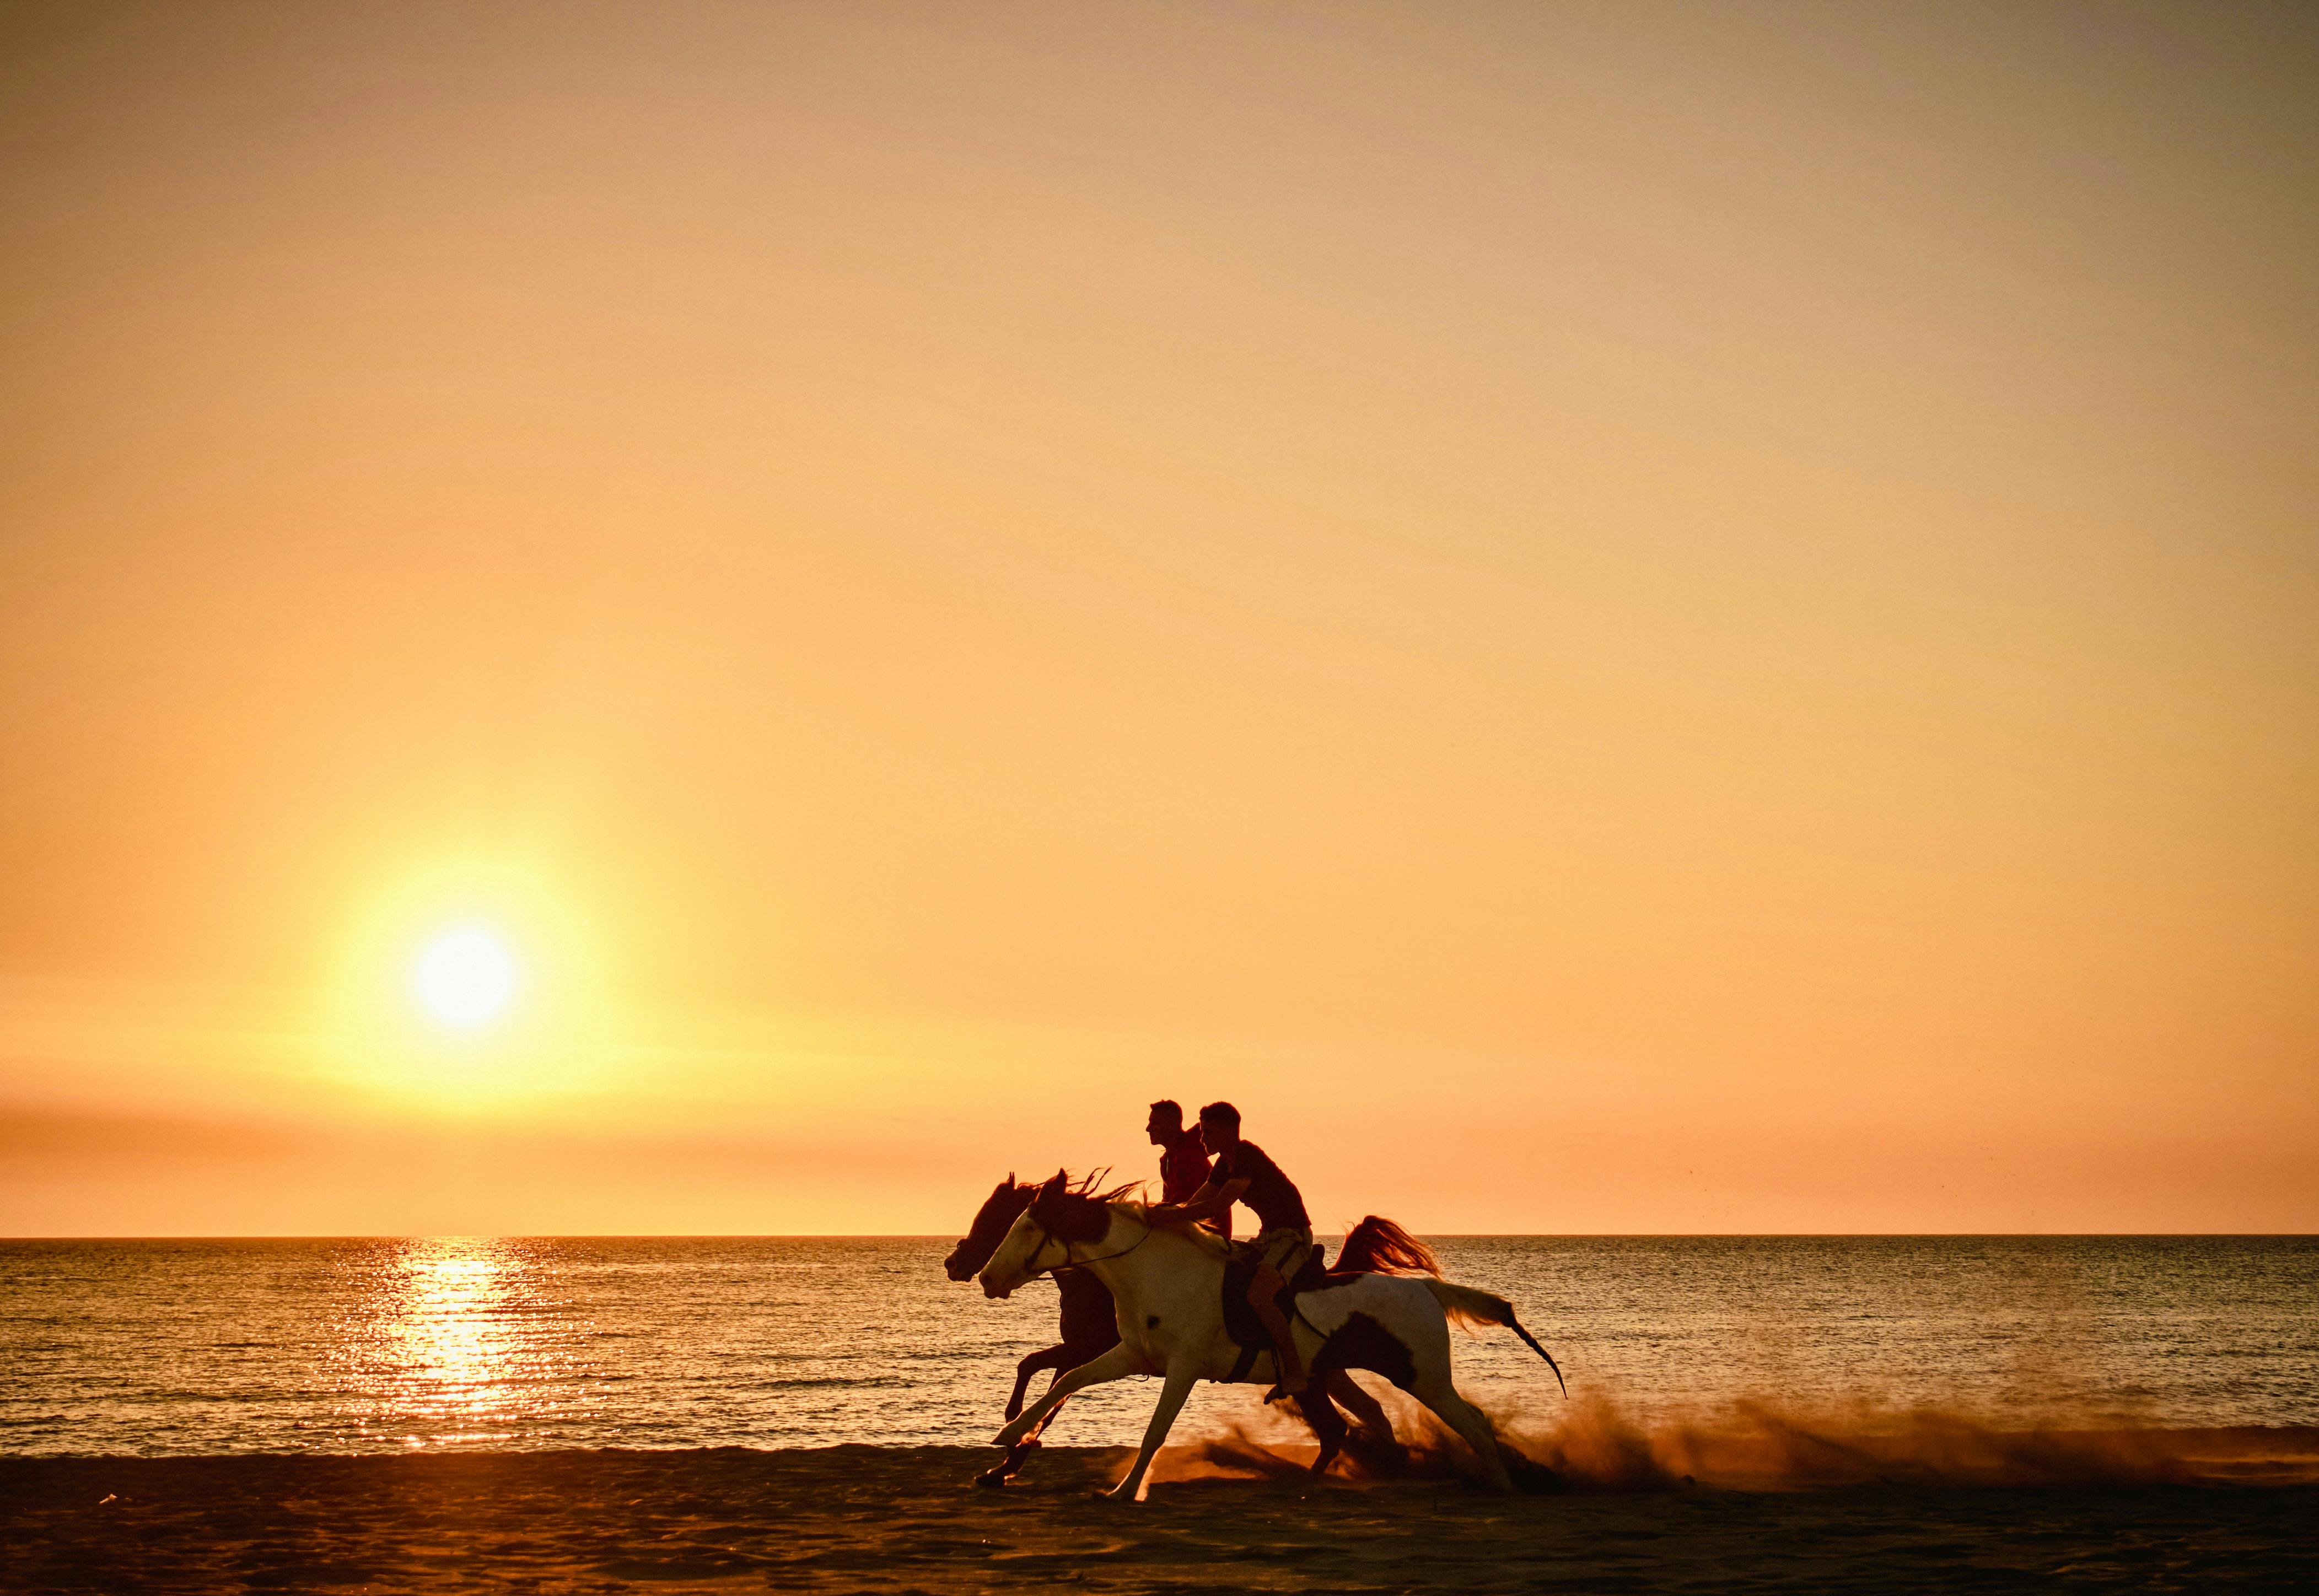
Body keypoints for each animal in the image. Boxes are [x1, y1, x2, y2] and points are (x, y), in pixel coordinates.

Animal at [978, 1173, 1558, 1493]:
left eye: (1024, 1226)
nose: (984, 1276)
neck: (1154, 1272)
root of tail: (1428, 1291)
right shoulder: (1130, 1356)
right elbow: (1067, 1380)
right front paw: (1008, 1435)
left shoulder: (1183, 1369)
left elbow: (1155, 1430)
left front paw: (1123, 1490)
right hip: (1333, 1374)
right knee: (1366, 1418)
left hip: (1423, 1378)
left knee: (1471, 1424)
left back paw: (1500, 1485)